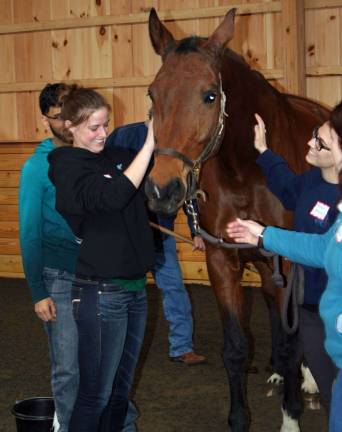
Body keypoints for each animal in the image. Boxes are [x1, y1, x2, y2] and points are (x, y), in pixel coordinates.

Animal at [146, 7, 330, 432]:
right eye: (152, 94)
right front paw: (240, 418)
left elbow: (291, 341)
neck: (247, 170)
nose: (163, 188)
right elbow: (236, 347)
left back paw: (308, 378)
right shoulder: (223, 259)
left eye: (210, 95)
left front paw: (291, 417)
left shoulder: (290, 261)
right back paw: (280, 371)